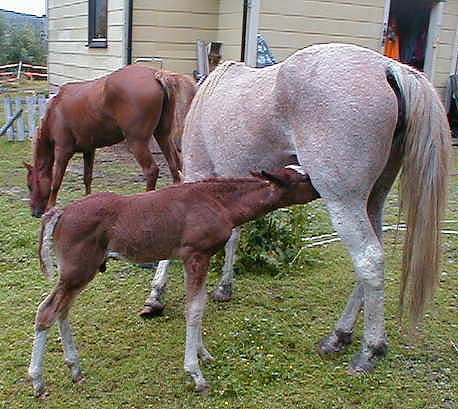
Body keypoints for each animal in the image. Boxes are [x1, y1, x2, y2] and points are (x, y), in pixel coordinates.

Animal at [24, 63, 197, 217]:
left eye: (30, 185)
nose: (34, 212)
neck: (55, 111)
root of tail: (156, 75)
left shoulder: (62, 151)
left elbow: (56, 182)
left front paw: (50, 207)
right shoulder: (89, 149)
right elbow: (87, 178)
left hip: (137, 142)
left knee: (151, 170)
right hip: (163, 135)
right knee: (175, 166)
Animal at [28, 165, 320, 396]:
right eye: (304, 178)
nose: (321, 188)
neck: (219, 202)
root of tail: (62, 212)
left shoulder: (199, 258)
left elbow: (199, 305)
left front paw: (204, 354)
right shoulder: (195, 255)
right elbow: (194, 309)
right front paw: (196, 374)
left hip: (78, 274)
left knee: (63, 310)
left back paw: (75, 369)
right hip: (78, 270)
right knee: (47, 311)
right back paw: (38, 382)